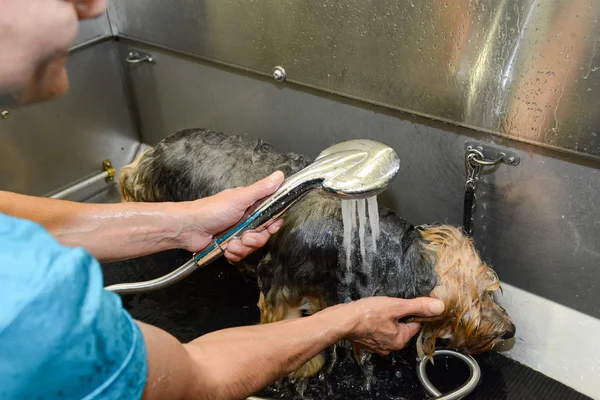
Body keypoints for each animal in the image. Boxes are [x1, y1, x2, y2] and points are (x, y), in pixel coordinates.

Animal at [119, 129, 512, 378]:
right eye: (478, 298)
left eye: (492, 291)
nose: (510, 331)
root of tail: (154, 149)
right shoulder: (280, 294)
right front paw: (303, 368)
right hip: (149, 192)